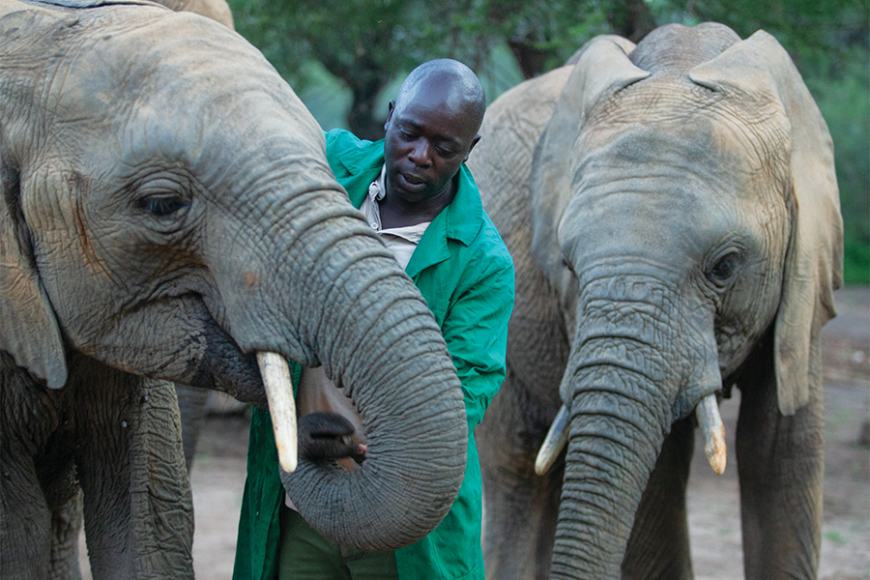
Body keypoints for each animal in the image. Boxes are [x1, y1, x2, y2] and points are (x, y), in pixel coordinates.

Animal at [470, 21, 844, 580]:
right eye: (568, 266)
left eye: (724, 267)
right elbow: (658, 481)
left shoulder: (802, 282)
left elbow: (782, 449)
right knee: (518, 463)